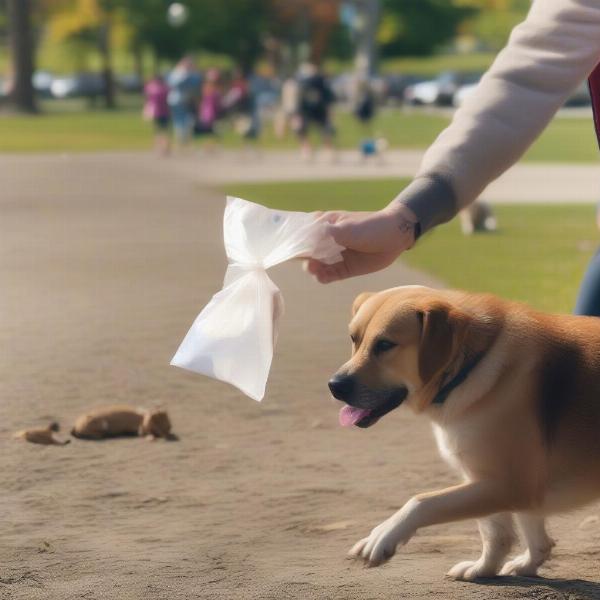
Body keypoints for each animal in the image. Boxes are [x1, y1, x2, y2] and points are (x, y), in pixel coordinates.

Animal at [328, 286, 600, 580]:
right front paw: (489, 568)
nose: (334, 386)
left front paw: (385, 534)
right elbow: (506, 534)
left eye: (385, 344)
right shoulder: (503, 484)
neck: (472, 364)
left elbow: (422, 502)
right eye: (354, 339)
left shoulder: (508, 484)